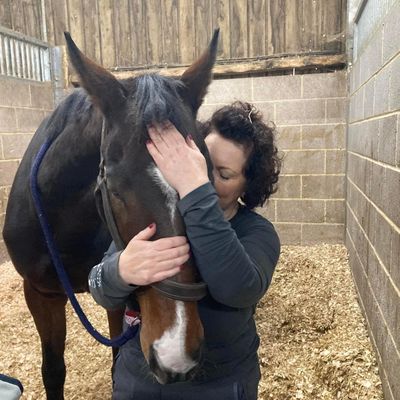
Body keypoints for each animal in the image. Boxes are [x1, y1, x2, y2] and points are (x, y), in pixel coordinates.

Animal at [2, 29, 219, 398]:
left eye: (205, 177)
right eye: (116, 190)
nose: (175, 356)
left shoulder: (121, 302)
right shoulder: (41, 293)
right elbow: (53, 371)